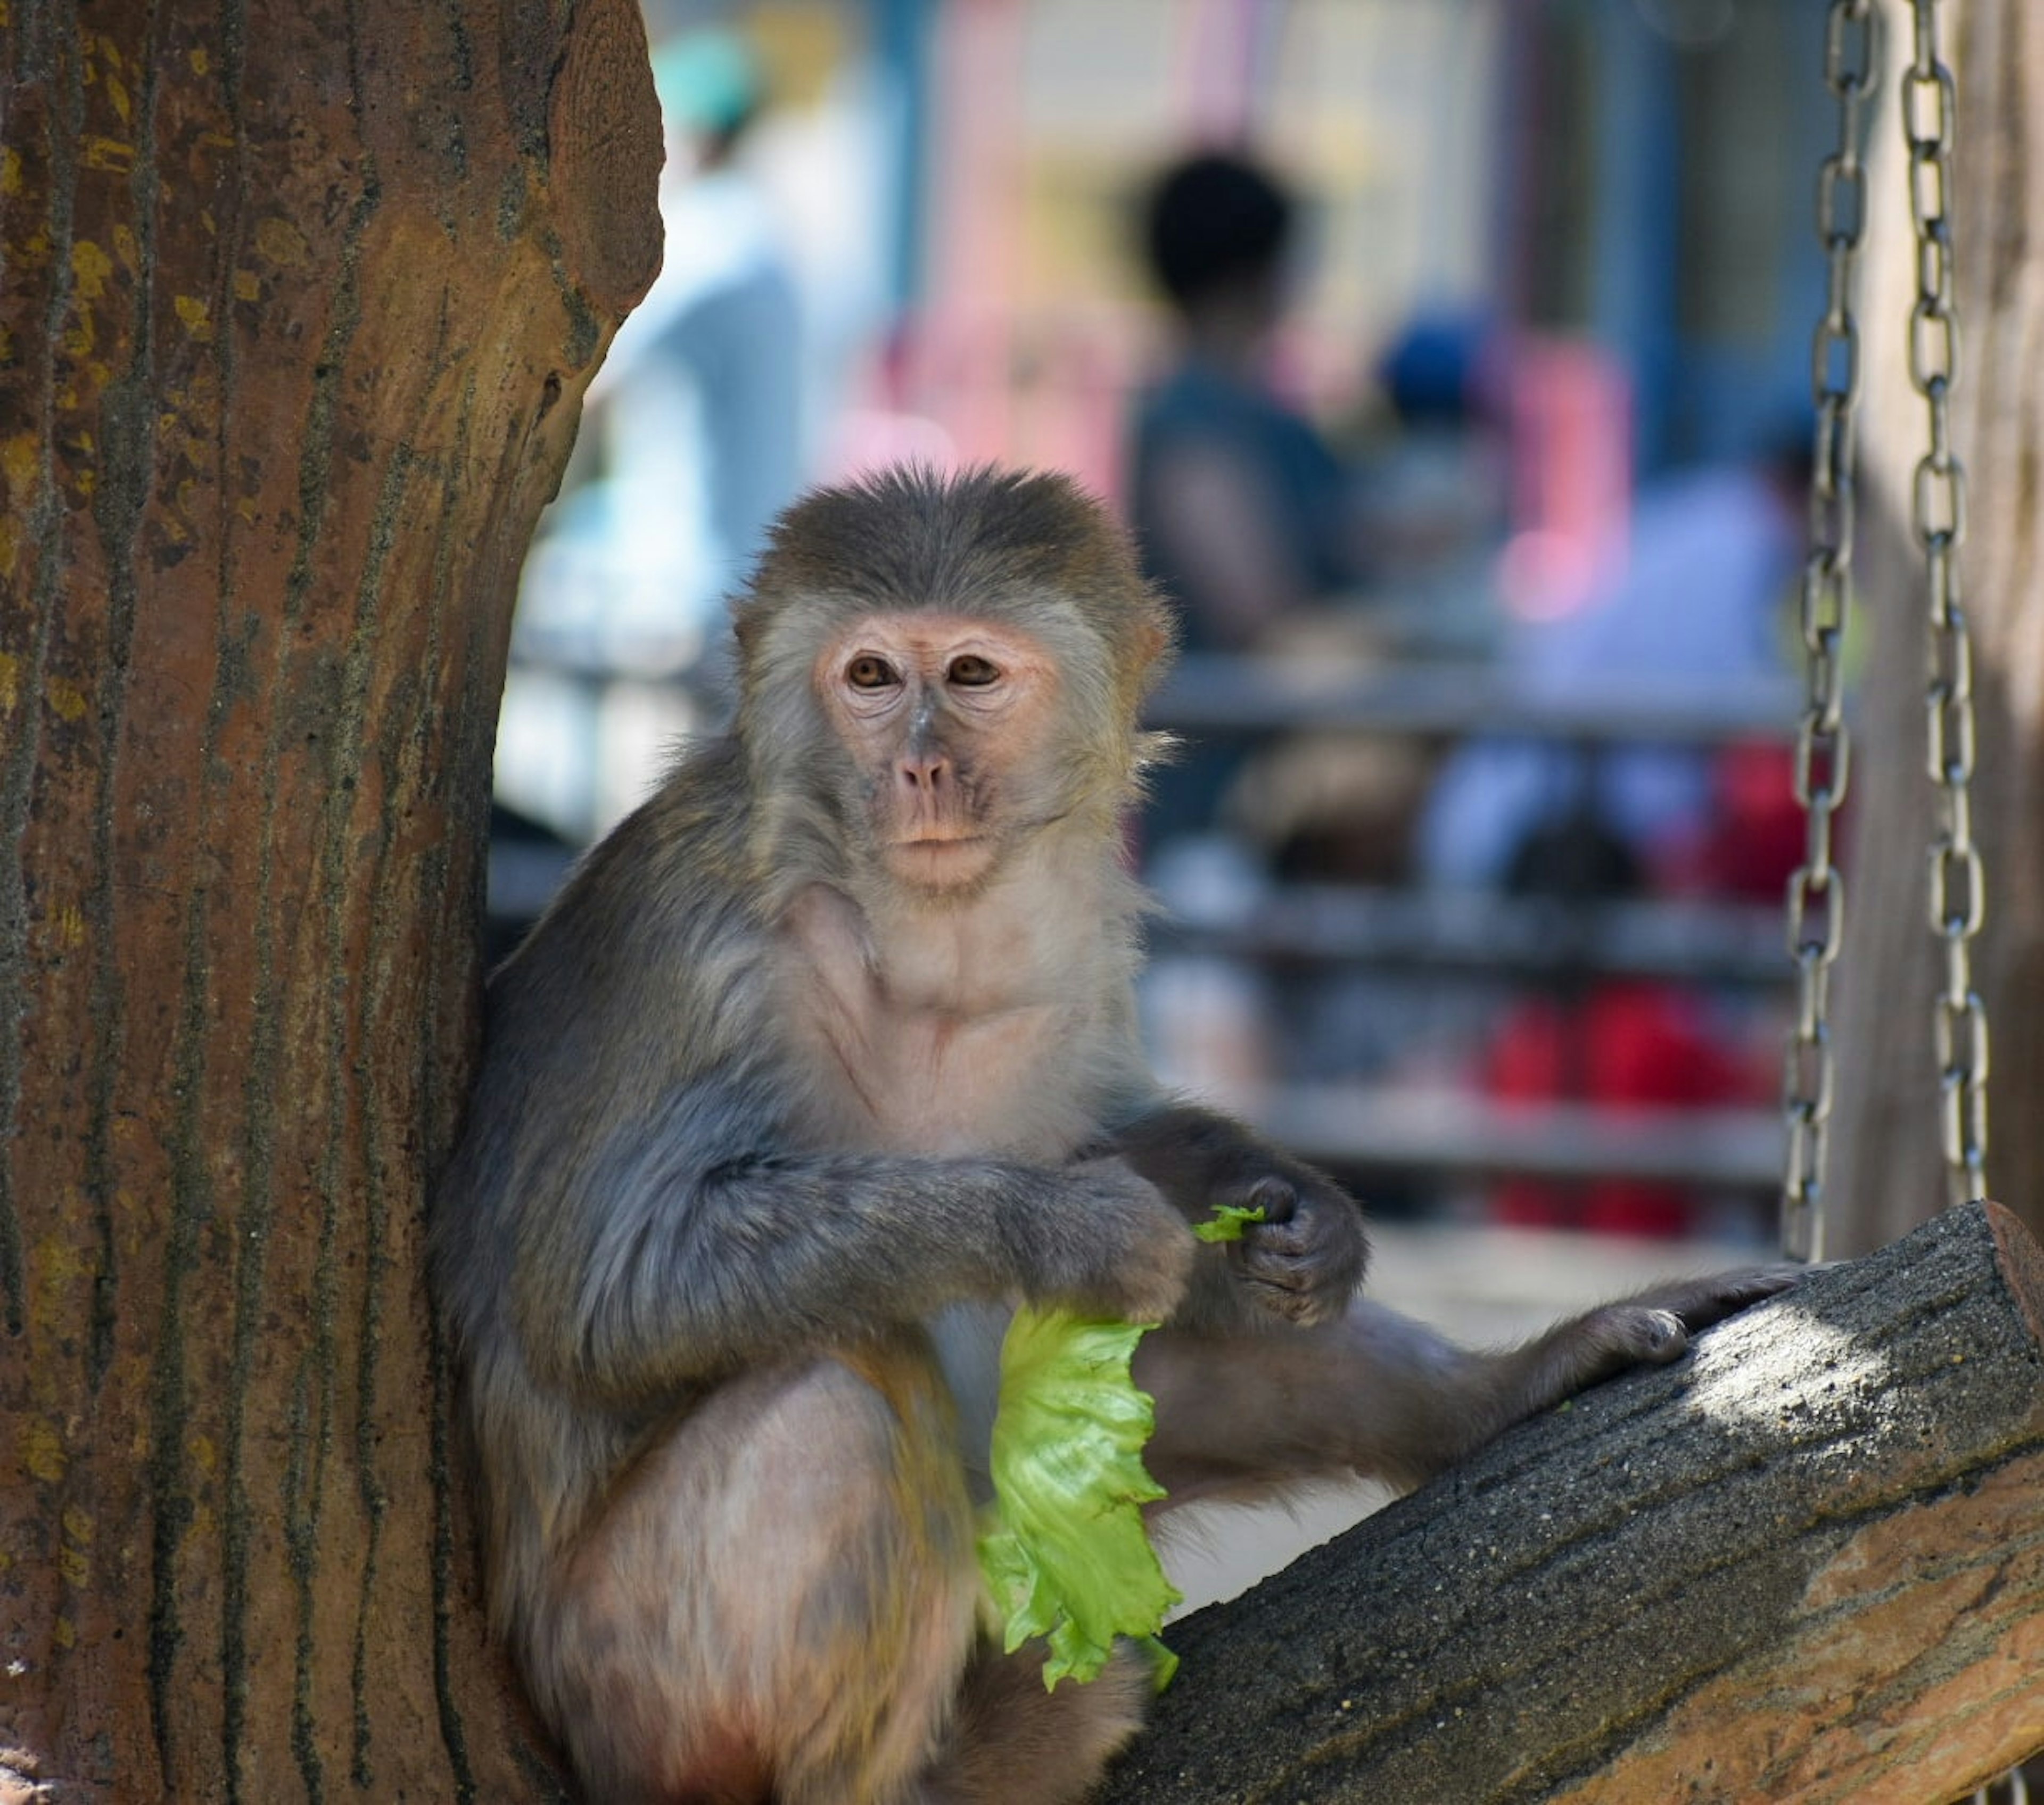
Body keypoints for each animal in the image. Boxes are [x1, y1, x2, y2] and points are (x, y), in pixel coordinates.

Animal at [427, 470, 1790, 1805]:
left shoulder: (1079, 929)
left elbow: (1124, 1129)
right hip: (630, 1691)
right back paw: (939, 1772)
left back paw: (1500, 1389)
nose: (917, 769)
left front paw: (1294, 1201)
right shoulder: (704, 945)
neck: (917, 922)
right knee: (836, 1400)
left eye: (970, 674)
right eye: (869, 676)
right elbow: (609, 1290)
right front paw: (1059, 1227)